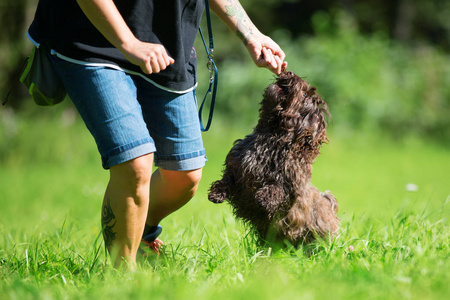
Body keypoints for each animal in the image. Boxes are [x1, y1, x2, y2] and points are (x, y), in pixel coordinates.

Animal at [207, 71, 338, 246]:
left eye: (303, 94)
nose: (289, 73)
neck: (270, 135)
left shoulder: (291, 182)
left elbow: (278, 188)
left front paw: (264, 197)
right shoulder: (236, 164)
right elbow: (227, 178)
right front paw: (217, 193)